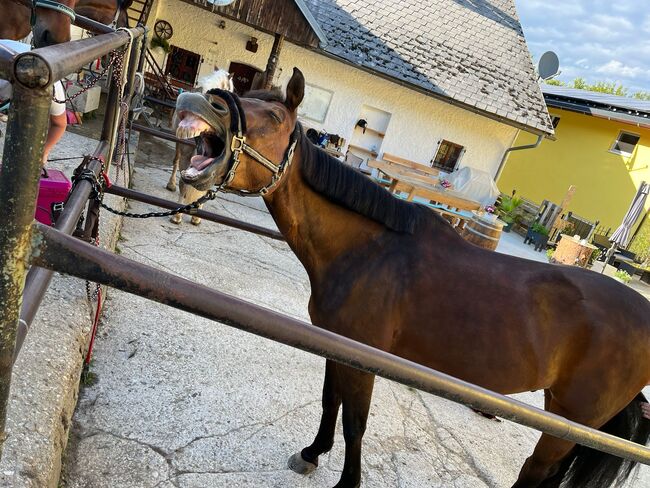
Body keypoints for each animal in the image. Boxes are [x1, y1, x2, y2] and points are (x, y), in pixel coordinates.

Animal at [172, 66, 648, 486]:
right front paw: (312, 453)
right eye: (246, 95)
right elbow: (330, 403)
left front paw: (346, 482)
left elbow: (355, 424)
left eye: (273, 117)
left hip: (571, 418)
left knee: (536, 470)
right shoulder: (338, 347)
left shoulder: (364, 359)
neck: (367, 252)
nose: (200, 101)